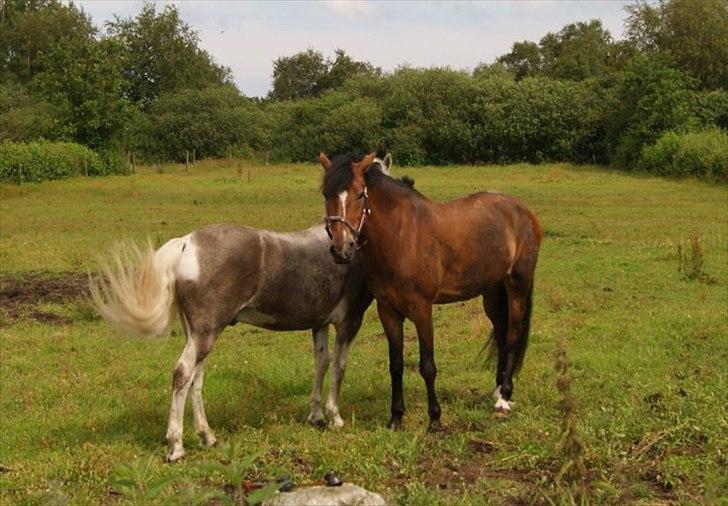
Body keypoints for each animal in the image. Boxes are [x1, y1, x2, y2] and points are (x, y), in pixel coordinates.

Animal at [318, 153, 540, 430]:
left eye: (360, 194)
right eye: (326, 193)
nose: (342, 248)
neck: (402, 237)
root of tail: (522, 210)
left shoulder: (422, 309)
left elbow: (427, 366)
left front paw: (434, 418)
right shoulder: (388, 311)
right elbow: (396, 365)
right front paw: (396, 417)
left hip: (518, 286)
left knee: (512, 336)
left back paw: (504, 399)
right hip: (492, 291)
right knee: (500, 331)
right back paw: (498, 390)